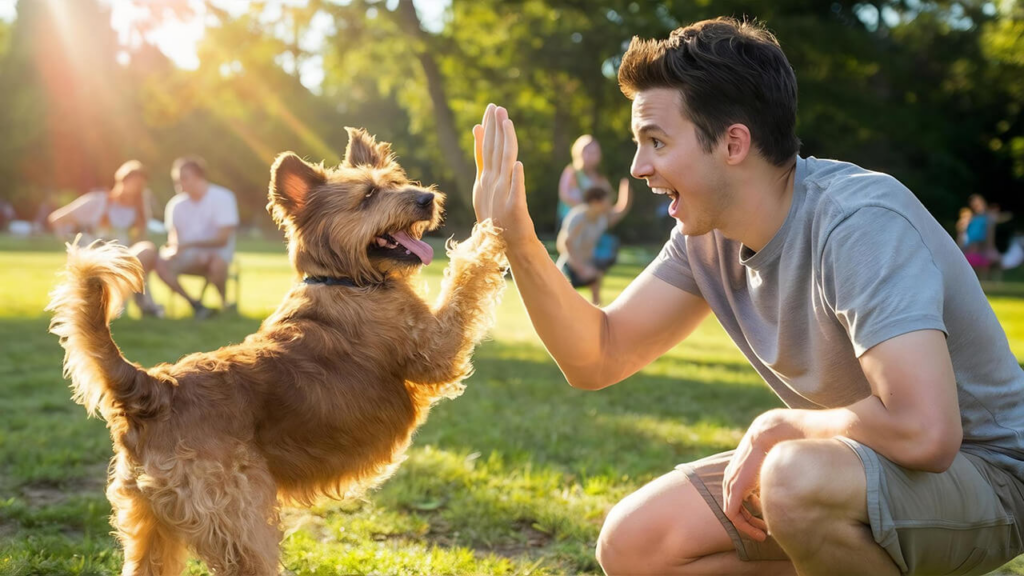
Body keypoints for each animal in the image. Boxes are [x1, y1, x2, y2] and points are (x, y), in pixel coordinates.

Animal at [47, 127, 507, 569]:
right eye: (368, 196)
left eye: (395, 182)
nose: (427, 198)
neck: (343, 279)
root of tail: (154, 388)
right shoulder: (435, 349)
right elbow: (465, 274)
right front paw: (493, 225)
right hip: (243, 524)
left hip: (150, 529)